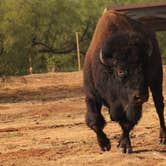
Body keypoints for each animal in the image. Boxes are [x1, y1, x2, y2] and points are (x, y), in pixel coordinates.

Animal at [83, 10, 166, 153]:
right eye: (120, 71)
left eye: (142, 68)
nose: (141, 96)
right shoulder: (91, 95)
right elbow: (95, 121)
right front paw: (105, 145)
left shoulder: (132, 104)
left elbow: (127, 123)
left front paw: (125, 146)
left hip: (156, 81)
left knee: (159, 106)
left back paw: (163, 138)